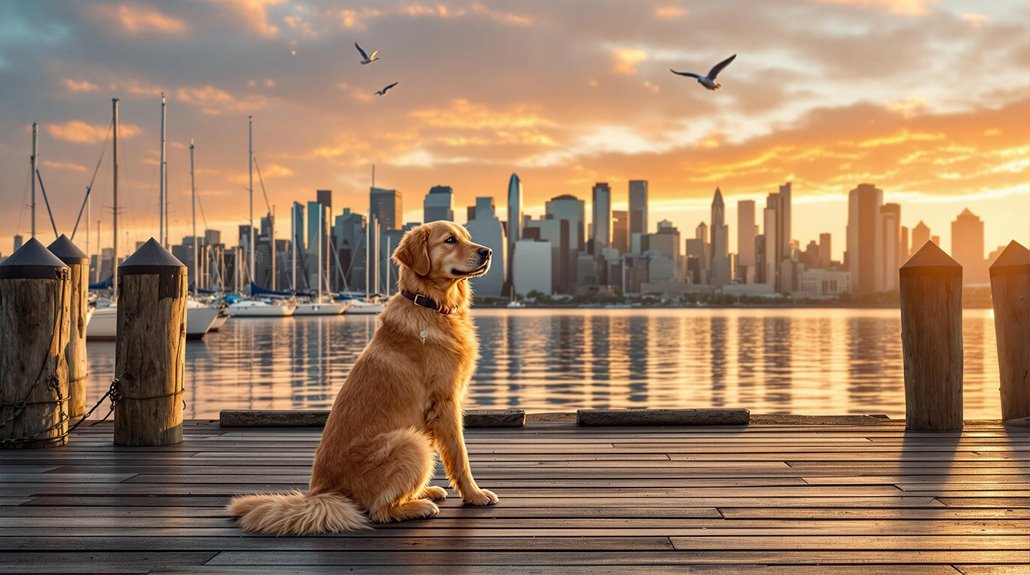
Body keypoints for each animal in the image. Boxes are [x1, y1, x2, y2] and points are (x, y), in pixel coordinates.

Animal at [226, 221, 498, 535]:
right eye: (450, 240)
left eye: (467, 237)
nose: (488, 251)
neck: (429, 305)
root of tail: (322, 494)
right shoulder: (445, 402)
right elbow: (459, 455)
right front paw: (475, 494)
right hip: (410, 441)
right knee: (380, 511)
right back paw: (418, 506)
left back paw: (423, 492)